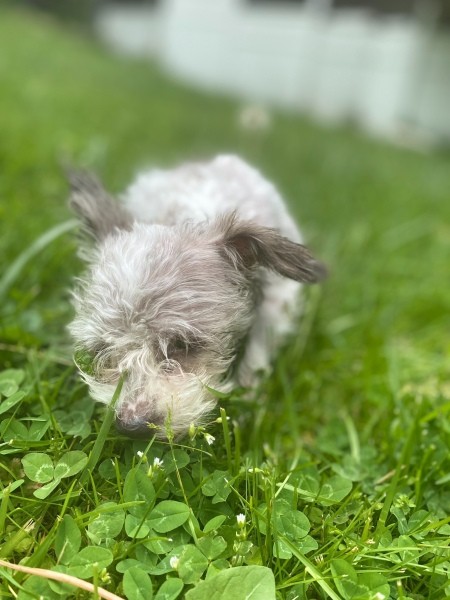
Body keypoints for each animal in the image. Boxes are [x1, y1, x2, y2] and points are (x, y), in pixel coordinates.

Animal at [67, 155, 326, 436]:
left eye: (181, 345)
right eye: (101, 348)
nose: (131, 427)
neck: (182, 218)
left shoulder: (276, 304)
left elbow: (256, 355)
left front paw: (247, 405)